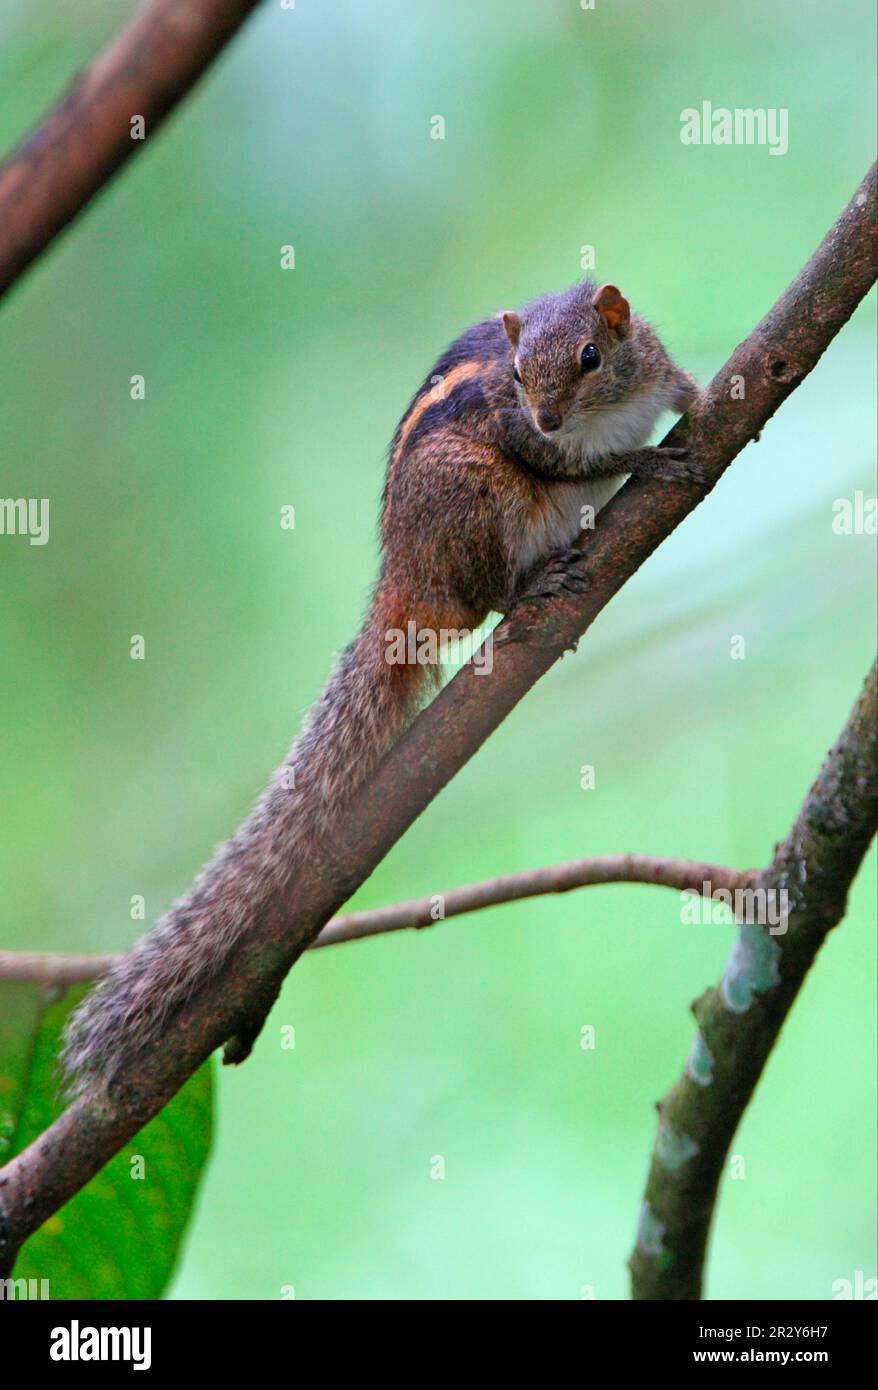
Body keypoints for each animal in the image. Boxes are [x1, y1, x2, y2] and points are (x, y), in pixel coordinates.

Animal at [63, 276, 700, 1089]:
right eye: (520, 375)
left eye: (592, 355)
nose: (549, 417)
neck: (600, 413)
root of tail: (400, 579)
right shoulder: (524, 440)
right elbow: (574, 468)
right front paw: (645, 463)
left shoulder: (648, 366)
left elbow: (675, 388)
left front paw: (700, 398)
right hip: (477, 497)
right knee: (488, 590)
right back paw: (531, 584)